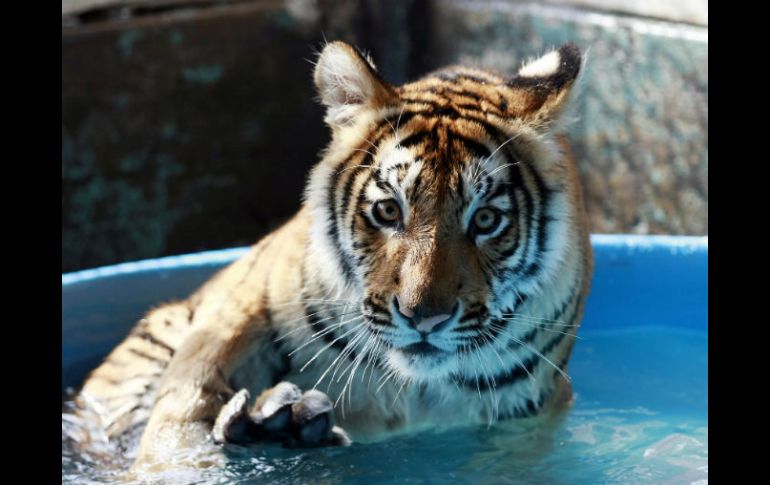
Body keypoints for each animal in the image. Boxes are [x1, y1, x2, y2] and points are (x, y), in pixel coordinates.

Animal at [67, 39, 592, 470]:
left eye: (485, 220)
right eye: (387, 210)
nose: (424, 318)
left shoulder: (529, 415)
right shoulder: (237, 307)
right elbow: (182, 413)